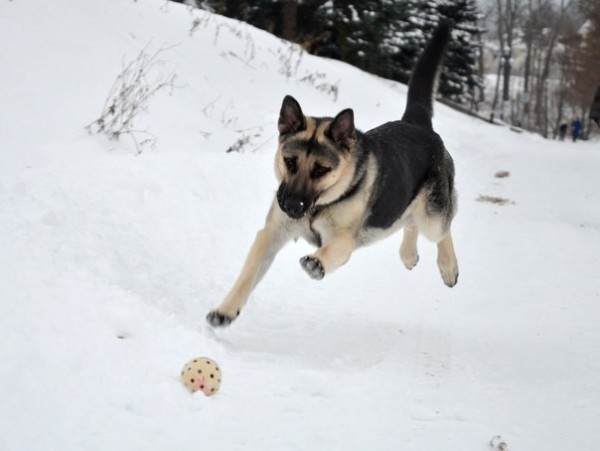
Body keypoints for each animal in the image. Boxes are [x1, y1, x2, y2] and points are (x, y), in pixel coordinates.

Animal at [206, 21, 460, 326]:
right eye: (289, 162)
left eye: (321, 170)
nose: (291, 206)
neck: (321, 203)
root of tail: (416, 123)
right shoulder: (271, 234)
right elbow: (247, 274)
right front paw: (226, 309)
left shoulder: (343, 241)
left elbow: (329, 250)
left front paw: (317, 263)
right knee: (409, 222)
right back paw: (409, 255)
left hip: (433, 215)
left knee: (444, 227)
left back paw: (448, 267)